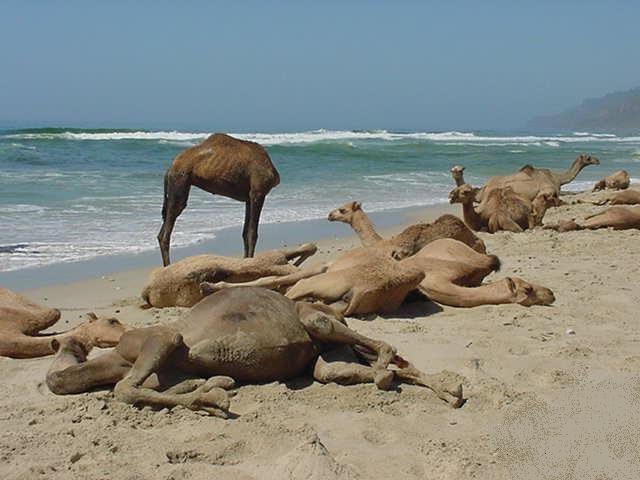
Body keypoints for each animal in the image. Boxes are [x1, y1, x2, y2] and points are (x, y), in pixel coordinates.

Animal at [46, 286, 464, 414]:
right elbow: (140, 387)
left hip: (321, 321)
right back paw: (443, 387)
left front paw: (212, 396)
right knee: (341, 370)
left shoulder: (160, 339)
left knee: (381, 346)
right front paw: (211, 388)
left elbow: (124, 389)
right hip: (326, 355)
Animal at [156, 133, 278, 266]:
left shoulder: (249, 198)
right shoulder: (258, 193)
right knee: (167, 229)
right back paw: (168, 267)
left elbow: (245, 233)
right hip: (180, 180)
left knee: (162, 230)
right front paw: (251, 262)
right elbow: (252, 233)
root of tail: (170, 168)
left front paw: (245, 262)